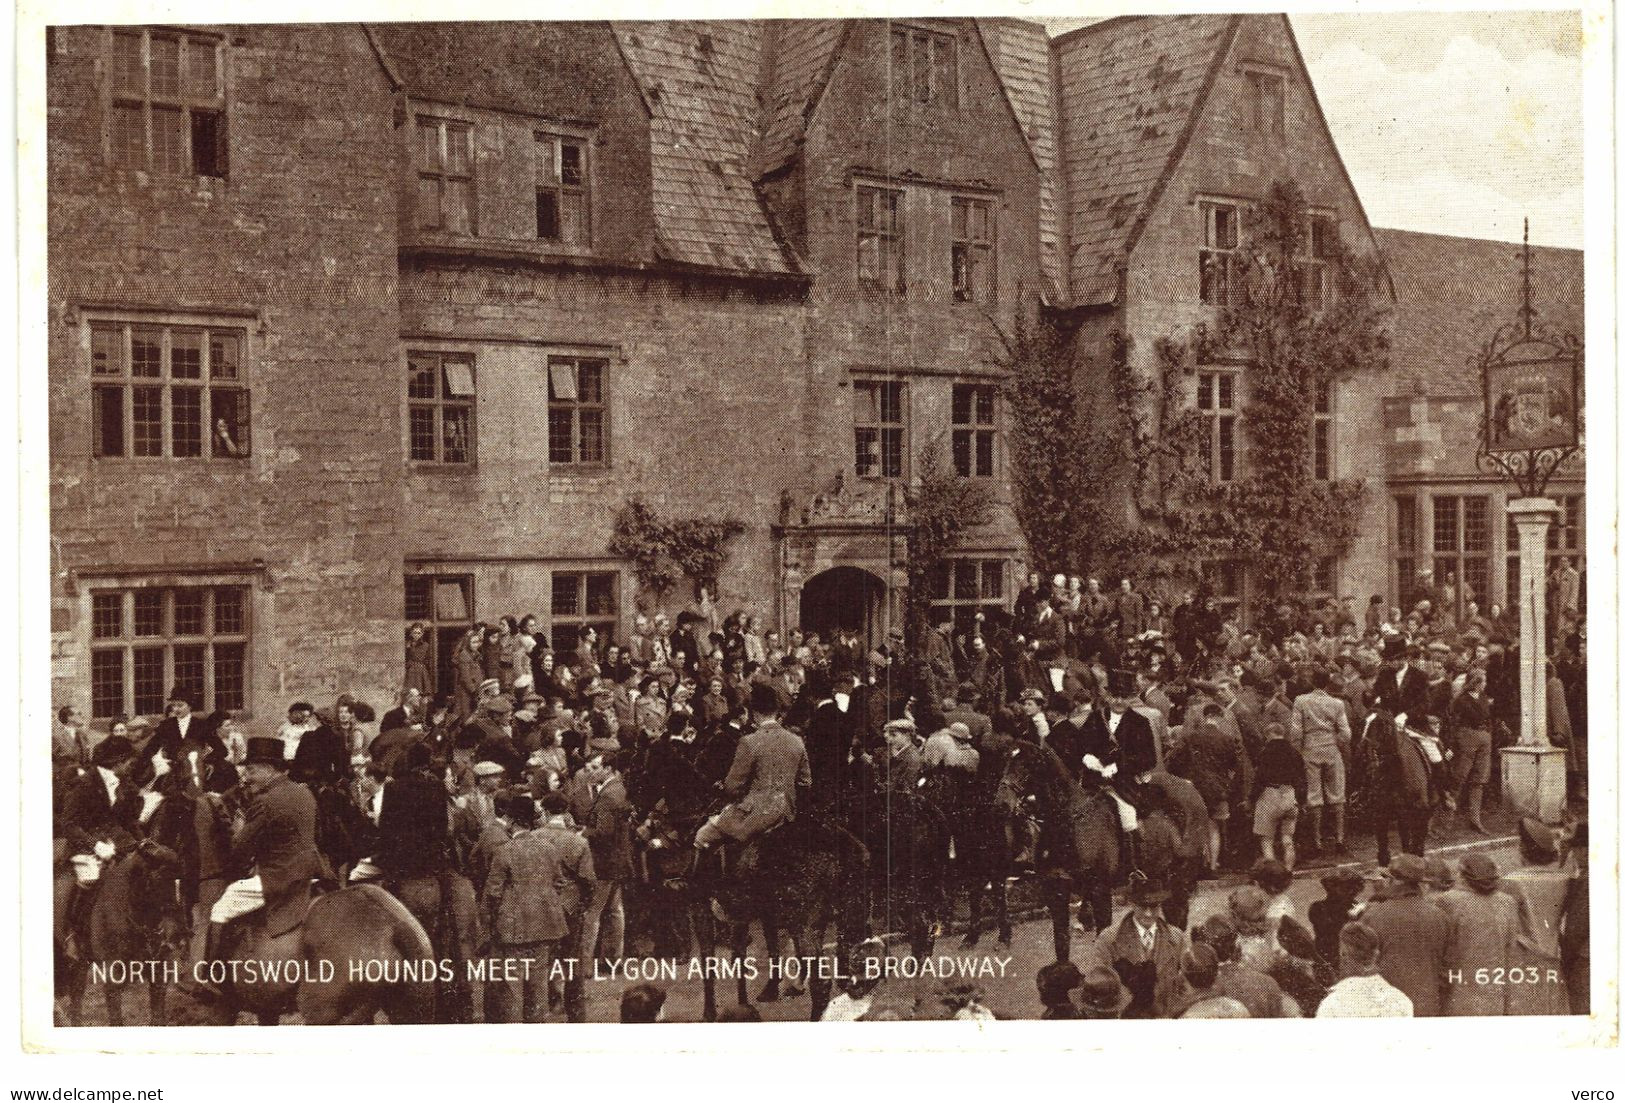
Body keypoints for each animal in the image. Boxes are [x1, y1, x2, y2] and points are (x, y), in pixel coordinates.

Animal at [994, 740, 1176, 968]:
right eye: (1004, 761)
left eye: (1028, 764)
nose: (1001, 804)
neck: (1068, 824)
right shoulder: (1056, 889)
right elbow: (1061, 942)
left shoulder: (1100, 889)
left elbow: (1103, 933)